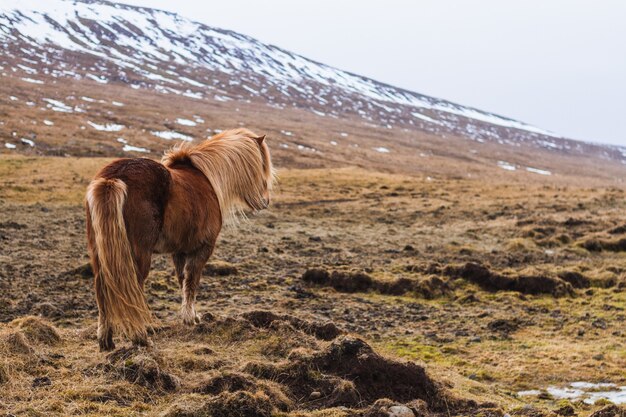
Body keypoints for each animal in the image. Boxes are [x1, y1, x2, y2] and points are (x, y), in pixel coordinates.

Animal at [85, 128, 272, 350]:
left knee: (102, 288)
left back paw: (106, 341)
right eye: (262, 165)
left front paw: (189, 316)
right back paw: (141, 337)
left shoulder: (179, 251)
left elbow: (182, 280)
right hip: (137, 254)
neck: (208, 178)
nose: (265, 201)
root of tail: (112, 179)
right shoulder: (202, 248)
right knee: (131, 286)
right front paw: (191, 319)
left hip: (100, 252)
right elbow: (192, 280)